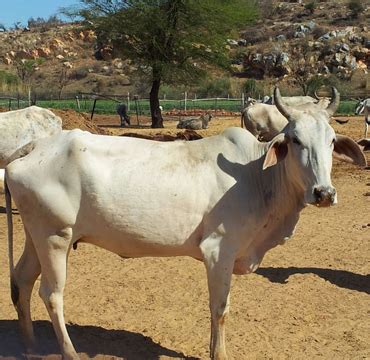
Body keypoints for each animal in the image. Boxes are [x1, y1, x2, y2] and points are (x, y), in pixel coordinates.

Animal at [4, 87, 366, 360]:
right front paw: (219, 354)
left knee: (22, 280)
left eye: (332, 141)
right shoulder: (218, 250)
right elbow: (220, 308)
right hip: (55, 237)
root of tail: (37, 145)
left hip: (38, 236)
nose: (324, 193)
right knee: (52, 294)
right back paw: (68, 352)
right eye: (294, 140)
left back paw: (29, 345)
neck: (257, 175)